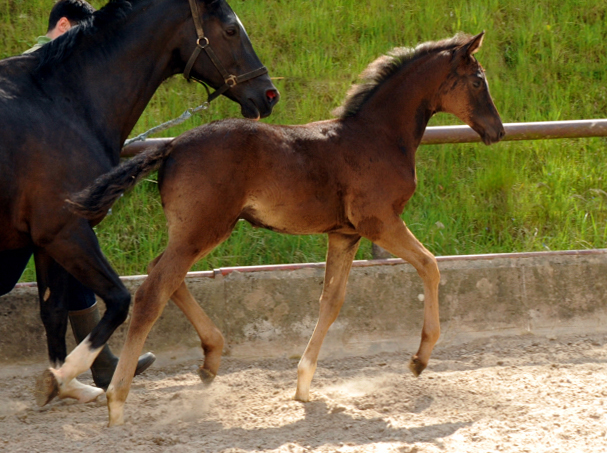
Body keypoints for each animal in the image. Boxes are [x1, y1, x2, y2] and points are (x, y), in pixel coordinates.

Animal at [70, 31, 504, 424]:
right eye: (478, 80)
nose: (497, 131)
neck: (378, 136)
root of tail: (173, 145)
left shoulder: (345, 234)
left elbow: (332, 300)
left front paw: (303, 383)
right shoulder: (379, 222)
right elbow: (430, 265)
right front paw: (419, 359)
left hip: (196, 231)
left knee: (165, 275)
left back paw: (209, 359)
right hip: (205, 228)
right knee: (152, 291)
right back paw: (115, 399)